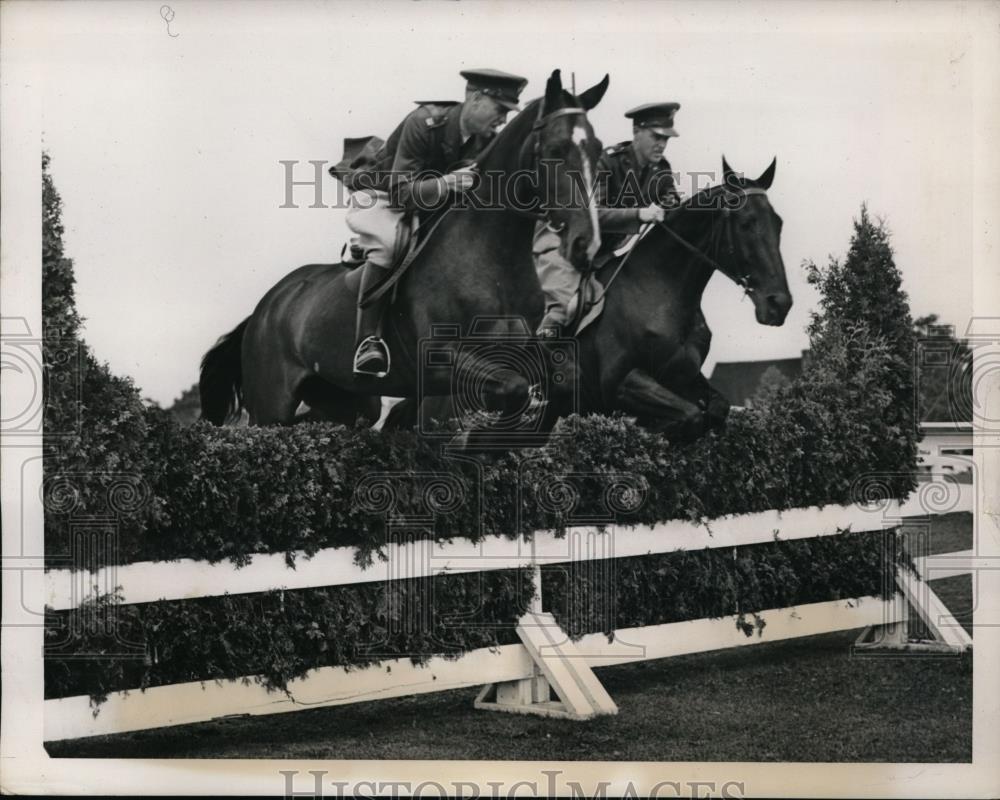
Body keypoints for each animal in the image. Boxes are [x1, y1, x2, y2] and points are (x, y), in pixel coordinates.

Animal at [198, 70, 608, 432]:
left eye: (598, 149)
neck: (493, 262)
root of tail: (264, 308)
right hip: (271, 404)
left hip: (348, 398)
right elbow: (511, 388)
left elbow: (561, 380)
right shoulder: (441, 361)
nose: (587, 244)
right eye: (556, 149)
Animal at [386, 158, 792, 444]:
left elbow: (715, 409)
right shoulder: (622, 383)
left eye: (778, 223)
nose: (779, 304)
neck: (662, 292)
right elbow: (689, 416)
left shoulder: (684, 375)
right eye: (746, 224)